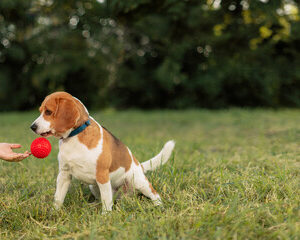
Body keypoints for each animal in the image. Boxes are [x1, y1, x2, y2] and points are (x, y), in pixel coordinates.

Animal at [29, 91, 173, 212]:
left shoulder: (102, 175)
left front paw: (106, 216)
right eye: (40, 111)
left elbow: (106, 201)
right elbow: (58, 197)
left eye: (48, 112)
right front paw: (54, 212)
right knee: (104, 199)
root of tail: (139, 165)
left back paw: (159, 206)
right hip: (94, 186)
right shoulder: (64, 174)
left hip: (139, 182)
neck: (74, 137)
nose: (32, 127)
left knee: (154, 194)